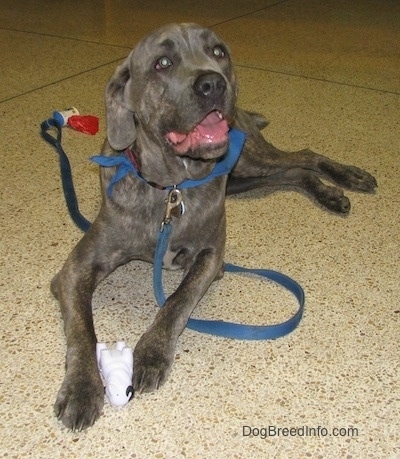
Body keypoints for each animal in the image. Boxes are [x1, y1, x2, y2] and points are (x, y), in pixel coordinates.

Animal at [51, 23, 376, 430]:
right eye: (162, 62)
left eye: (219, 52)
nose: (213, 84)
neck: (170, 189)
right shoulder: (75, 269)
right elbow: (82, 328)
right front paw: (82, 387)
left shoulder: (211, 258)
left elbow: (177, 301)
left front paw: (152, 352)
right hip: (242, 179)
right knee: (294, 172)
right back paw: (329, 192)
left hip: (249, 159)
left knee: (304, 155)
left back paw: (346, 179)